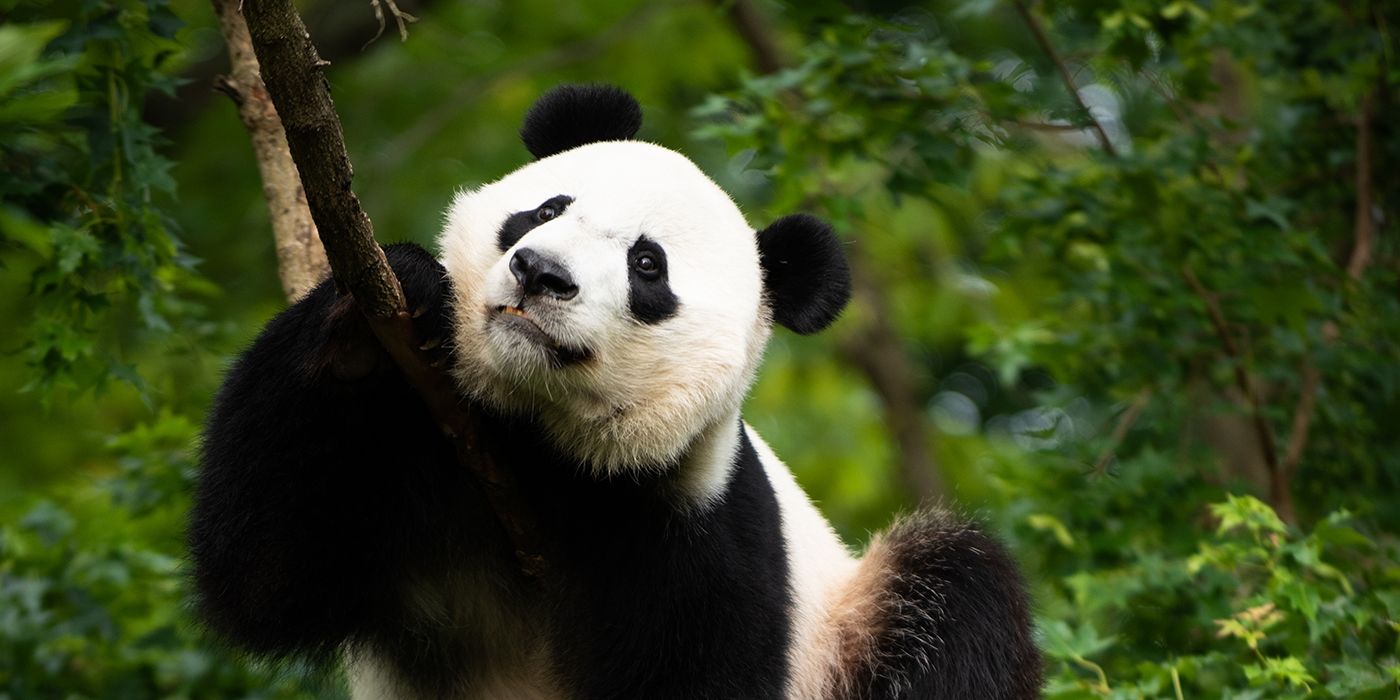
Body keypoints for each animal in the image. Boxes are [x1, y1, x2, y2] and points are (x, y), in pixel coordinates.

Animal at [189, 84, 1041, 697]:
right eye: (546, 208)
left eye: (647, 266)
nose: (540, 273)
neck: (531, 444)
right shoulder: (420, 457)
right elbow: (269, 572)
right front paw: (382, 313)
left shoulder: (694, 525)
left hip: (856, 625)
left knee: (957, 593)